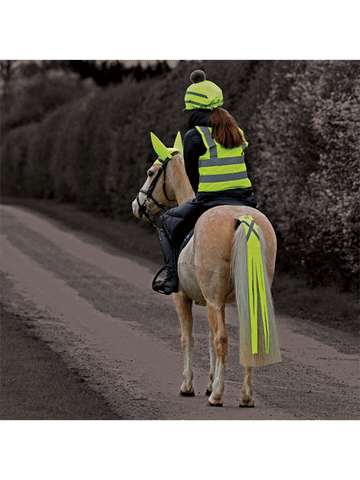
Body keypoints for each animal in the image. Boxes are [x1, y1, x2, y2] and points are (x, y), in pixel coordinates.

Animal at [132, 130, 282, 404]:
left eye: (150, 172)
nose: (136, 206)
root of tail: (244, 219)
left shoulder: (184, 297)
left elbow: (188, 338)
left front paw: (189, 385)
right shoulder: (214, 301)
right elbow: (211, 339)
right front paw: (210, 383)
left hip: (211, 298)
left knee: (222, 339)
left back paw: (218, 396)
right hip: (241, 297)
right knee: (246, 337)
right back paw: (245, 396)